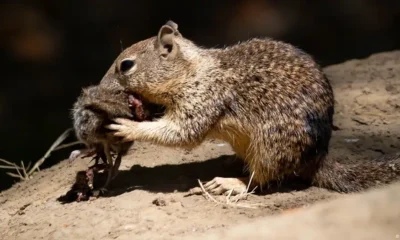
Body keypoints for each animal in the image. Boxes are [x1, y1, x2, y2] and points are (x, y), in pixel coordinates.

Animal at [104, 19, 400, 194]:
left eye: (126, 65)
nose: (102, 85)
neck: (191, 71)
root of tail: (317, 158)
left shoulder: (202, 99)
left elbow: (182, 133)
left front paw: (127, 127)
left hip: (271, 146)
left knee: (260, 179)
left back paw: (230, 183)